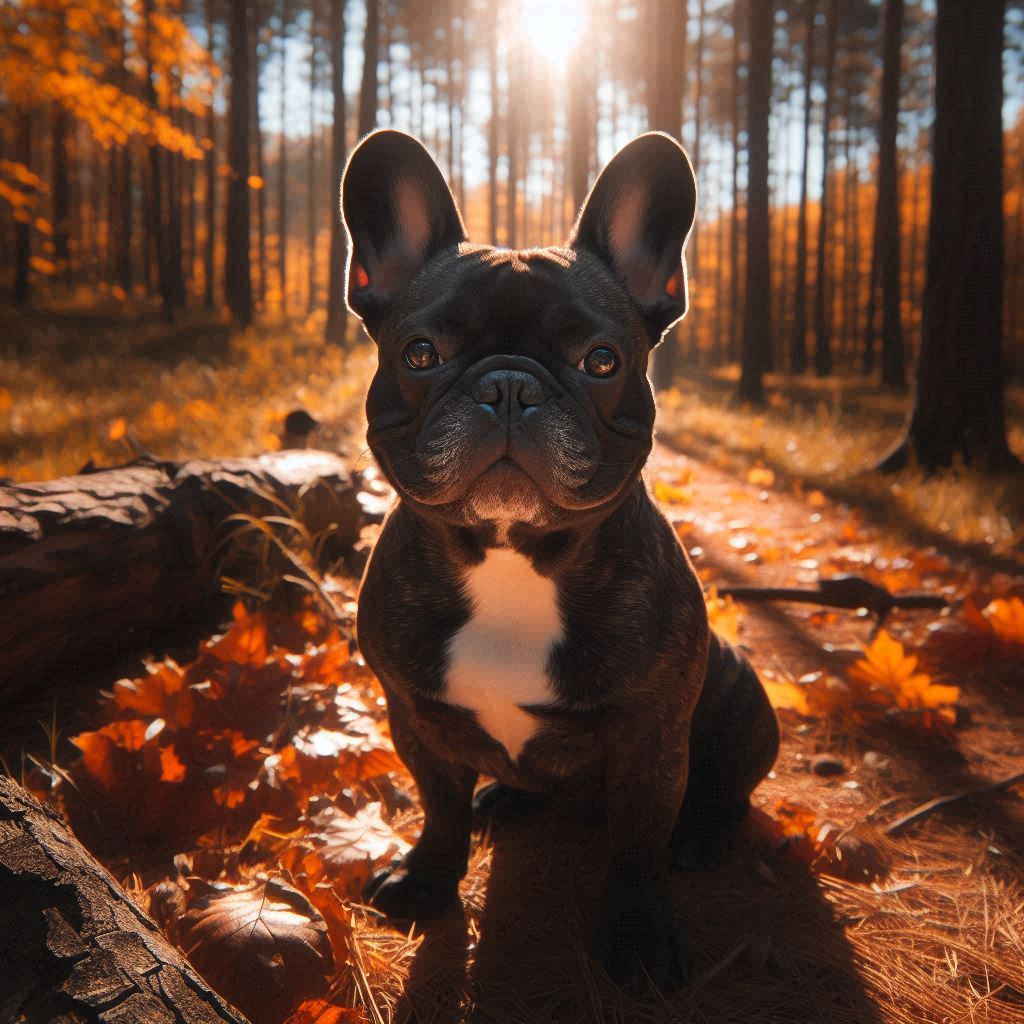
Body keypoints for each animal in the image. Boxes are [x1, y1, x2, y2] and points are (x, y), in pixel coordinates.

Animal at [339, 128, 778, 983]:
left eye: (601, 362)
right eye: (420, 354)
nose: (509, 386)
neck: (513, 556)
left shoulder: (651, 742)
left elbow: (638, 847)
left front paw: (638, 937)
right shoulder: (415, 718)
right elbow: (439, 807)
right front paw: (426, 879)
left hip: (741, 693)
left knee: (724, 790)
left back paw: (703, 832)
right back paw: (507, 798)